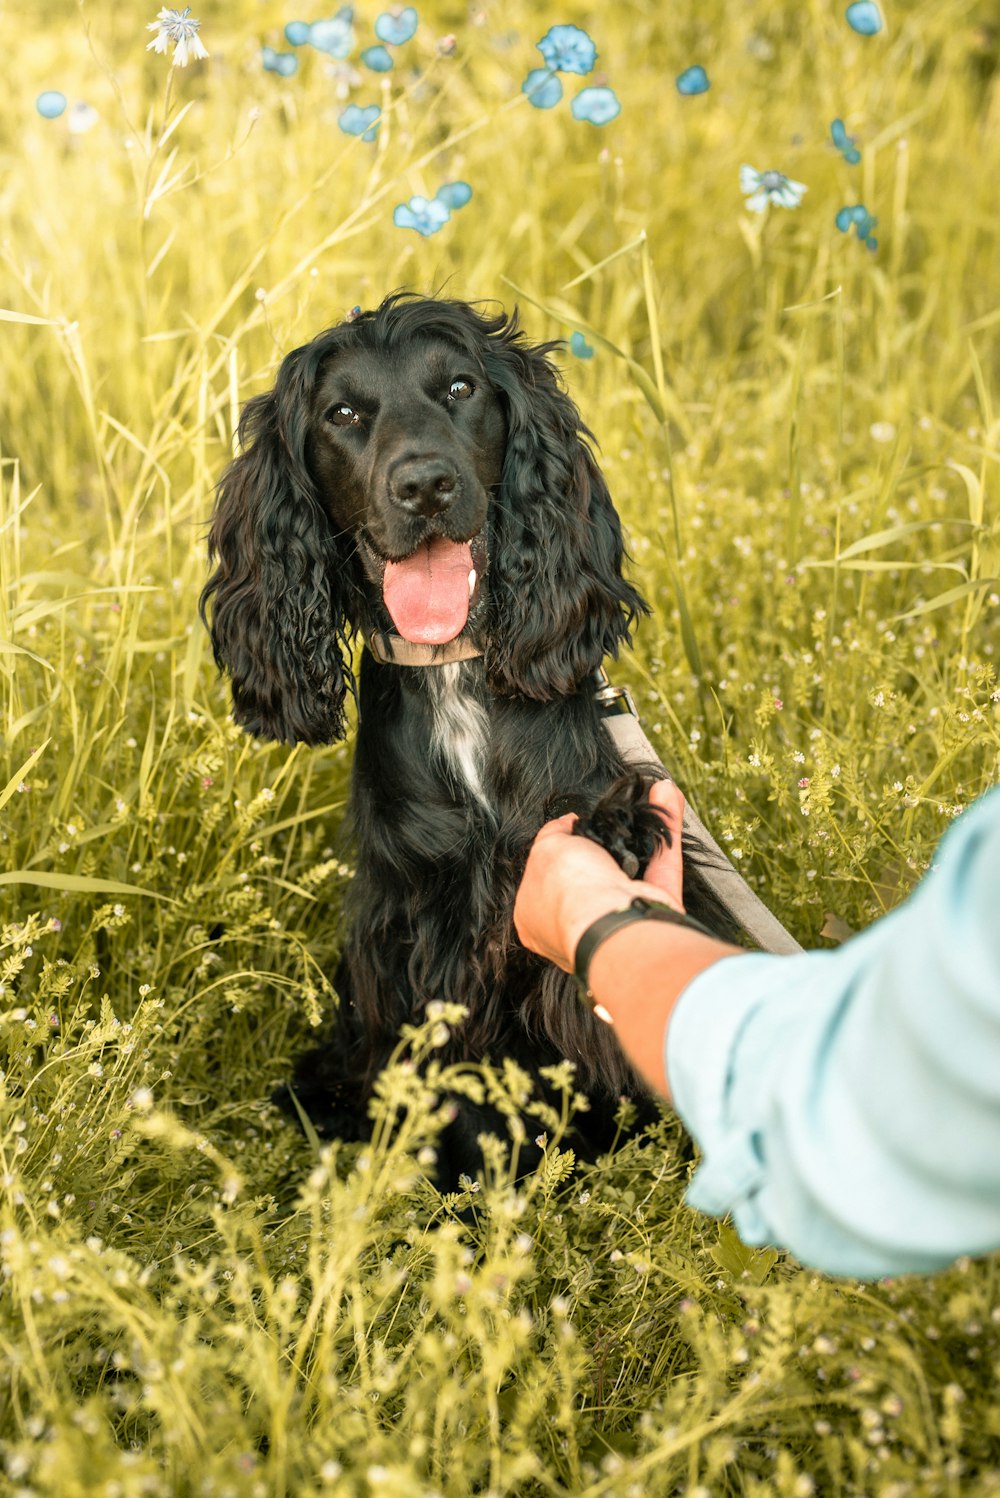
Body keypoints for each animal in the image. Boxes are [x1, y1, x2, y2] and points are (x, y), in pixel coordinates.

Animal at [200, 292, 727, 1174]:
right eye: (343, 414)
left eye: (458, 388)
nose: (424, 486)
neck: (455, 673)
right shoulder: (419, 942)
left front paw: (616, 834)